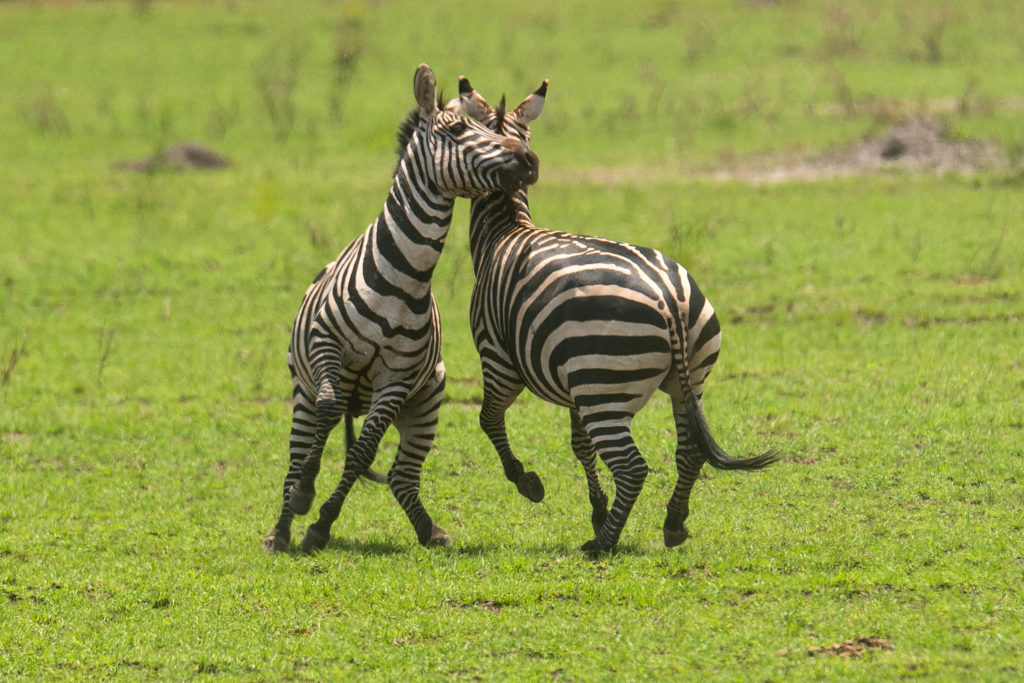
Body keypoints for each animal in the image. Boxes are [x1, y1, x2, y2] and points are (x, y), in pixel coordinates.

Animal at [263, 64, 539, 554]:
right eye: (457, 131)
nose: (528, 160)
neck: (405, 275)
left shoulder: (396, 378)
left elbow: (361, 452)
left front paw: (321, 525)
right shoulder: (325, 343)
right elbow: (330, 409)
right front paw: (305, 496)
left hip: (428, 399)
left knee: (401, 475)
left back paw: (429, 530)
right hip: (301, 390)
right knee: (301, 447)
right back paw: (281, 527)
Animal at [449, 78, 777, 553]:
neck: (506, 228)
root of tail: (667, 298)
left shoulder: (498, 361)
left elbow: (488, 419)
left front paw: (528, 482)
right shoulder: (572, 386)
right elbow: (579, 445)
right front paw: (597, 508)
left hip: (603, 388)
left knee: (633, 467)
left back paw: (603, 543)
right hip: (684, 378)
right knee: (689, 451)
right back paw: (673, 524)